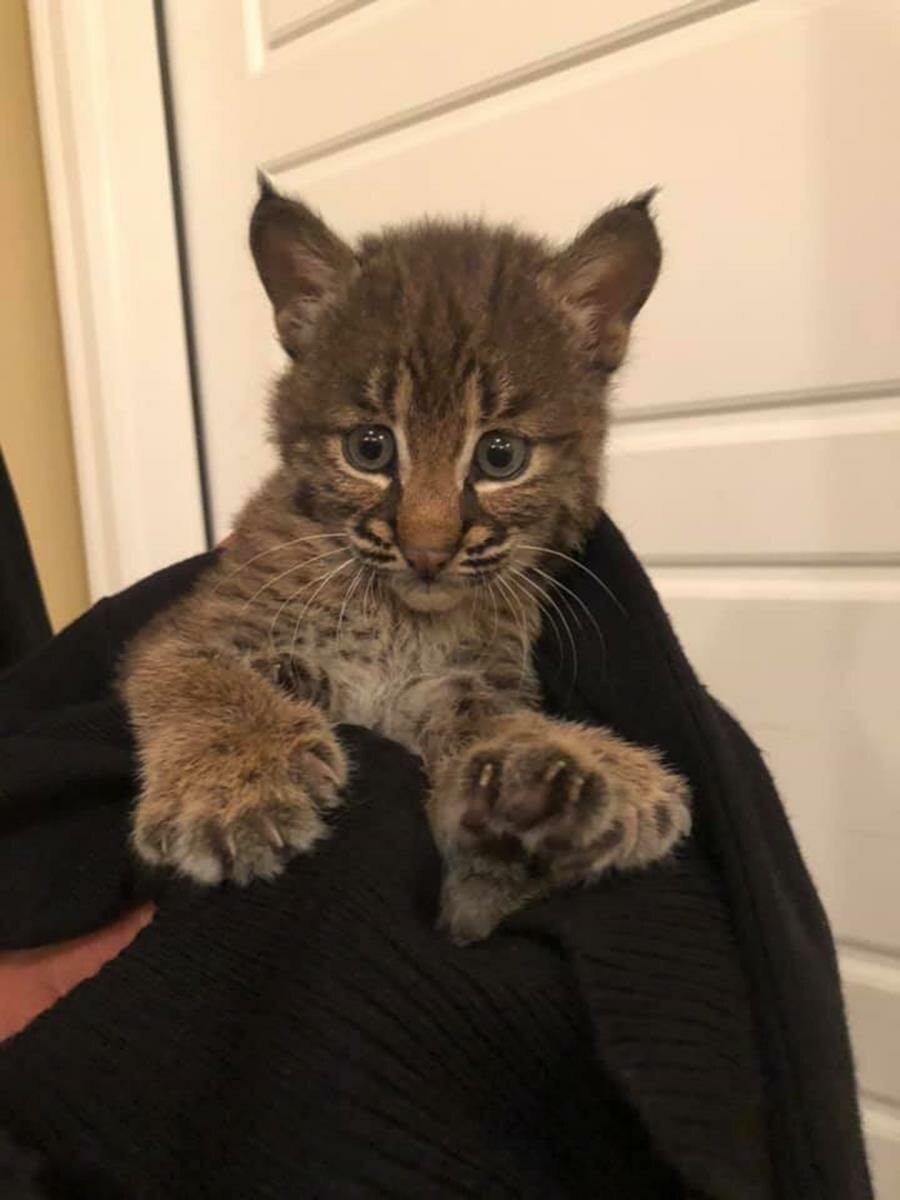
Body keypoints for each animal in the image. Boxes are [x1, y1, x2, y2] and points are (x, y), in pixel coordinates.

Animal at [123, 182, 691, 940]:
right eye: (369, 448)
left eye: (501, 456)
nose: (427, 550)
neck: (399, 617)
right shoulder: (191, 628)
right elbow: (204, 679)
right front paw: (236, 781)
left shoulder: (465, 683)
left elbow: (483, 755)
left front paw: (565, 770)